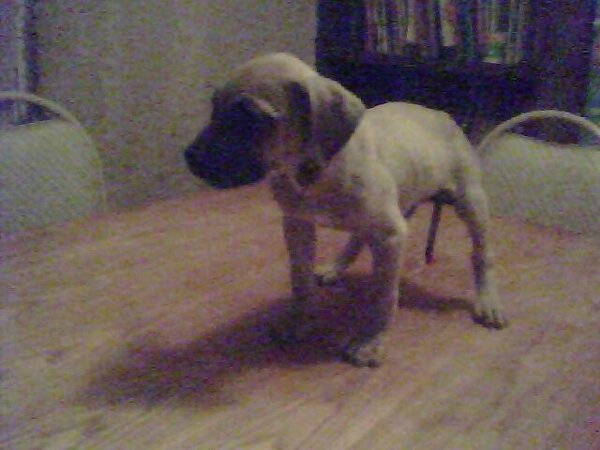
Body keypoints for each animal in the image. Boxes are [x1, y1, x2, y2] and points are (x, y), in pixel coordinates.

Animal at [184, 53, 507, 367]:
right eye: (214, 107)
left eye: (250, 118)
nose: (190, 158)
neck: (312, 172)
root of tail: (443, 114)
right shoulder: (297, 225)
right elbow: (300, 281)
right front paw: (300, 321)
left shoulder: (390, 236)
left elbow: (383, 295)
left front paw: (371, 341)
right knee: (357, 237)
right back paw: (335, 267)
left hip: (470, 202)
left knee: (482, 254)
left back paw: (488, 300)